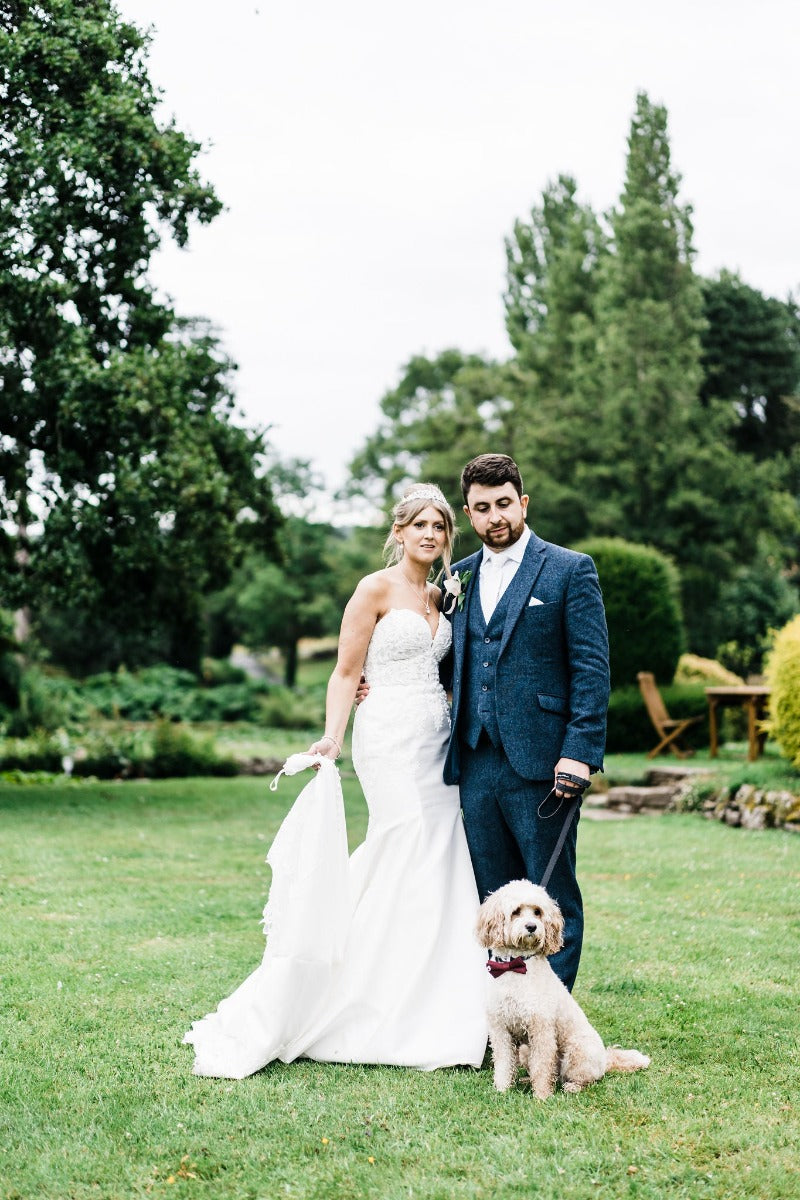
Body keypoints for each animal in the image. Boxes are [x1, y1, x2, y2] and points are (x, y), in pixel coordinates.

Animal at [474, 878, 652, 1099]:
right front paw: (502, 1089)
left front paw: (541, 1096)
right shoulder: (500, 1030)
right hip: (525, 1051)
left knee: (584, 1079)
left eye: (537, 912)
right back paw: (526, 1080)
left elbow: (542, 1065)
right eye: (516, 911)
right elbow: (504, 1063)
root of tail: (605, 1059)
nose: (532, 927)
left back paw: (572, 1086)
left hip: (577, 1052)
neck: (516, 967)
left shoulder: (541, 1030)